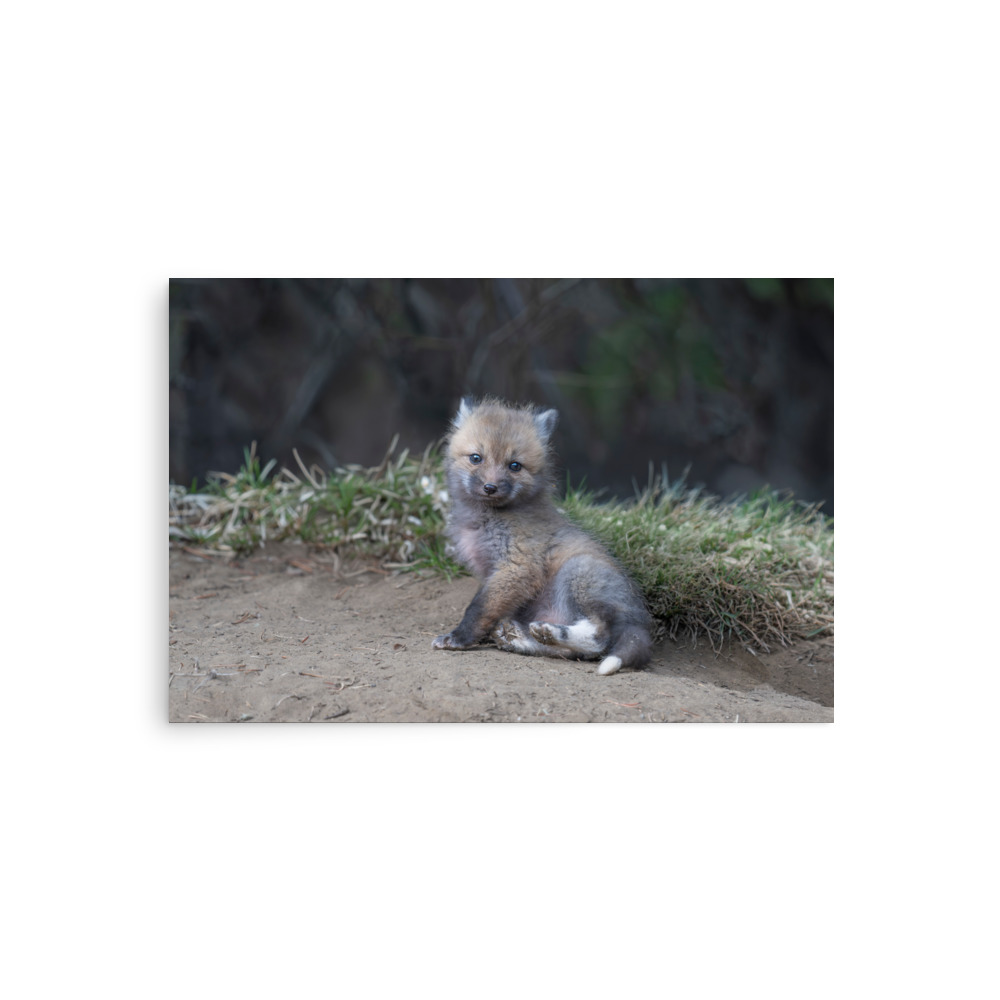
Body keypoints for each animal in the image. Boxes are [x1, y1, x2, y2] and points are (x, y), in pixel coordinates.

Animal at [431, 397, 653, 675]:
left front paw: (459, 638)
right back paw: (522, 638)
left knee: (598, 638)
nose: (490, 487)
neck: (487, 519)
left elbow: (479, 608)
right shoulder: (493, 572)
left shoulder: (517, 566)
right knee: (572, 653)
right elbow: (489, 608)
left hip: (577, 572)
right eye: (476, 458)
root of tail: (641, 621)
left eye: (515, 466)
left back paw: (551, 633)